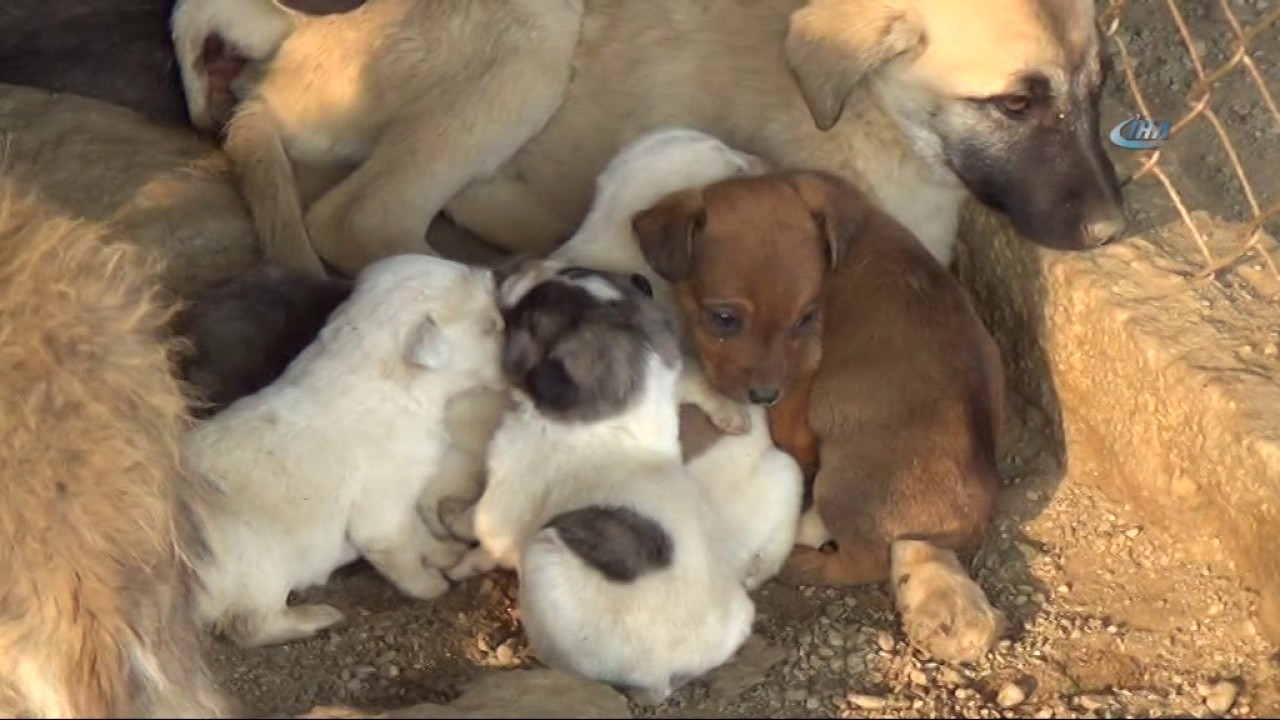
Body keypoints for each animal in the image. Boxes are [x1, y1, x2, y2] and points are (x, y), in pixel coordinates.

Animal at [185, 0, 1126, 274]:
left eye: (1100, 87)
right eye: (1015, 103)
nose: (1113, 230)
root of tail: (305, 35)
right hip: (534, 30)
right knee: (360, 217)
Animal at [185, 251, 504, 645]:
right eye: (489, 327)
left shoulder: (403, 495)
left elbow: (421, 534)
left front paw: (448, 553)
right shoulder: (381, 509)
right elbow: (404, 553)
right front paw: (433, 586)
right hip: (259, 570)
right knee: (250, 625)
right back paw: (320, 617)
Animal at [448, 257, 747, 702]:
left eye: (525, 314)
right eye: (571, 270)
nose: (528, 264)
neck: (616, 424)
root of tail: (662, 678)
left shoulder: (502, 502)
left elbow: (477, 528)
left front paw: (455, 536)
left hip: (542, 555)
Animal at [637, 167, 1008, 661]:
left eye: (805, 319)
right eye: (723, 319)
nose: (763, 395)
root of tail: (973, 520)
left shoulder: (798, 389)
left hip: (841, 488)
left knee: (864, 562)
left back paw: (805, 564)